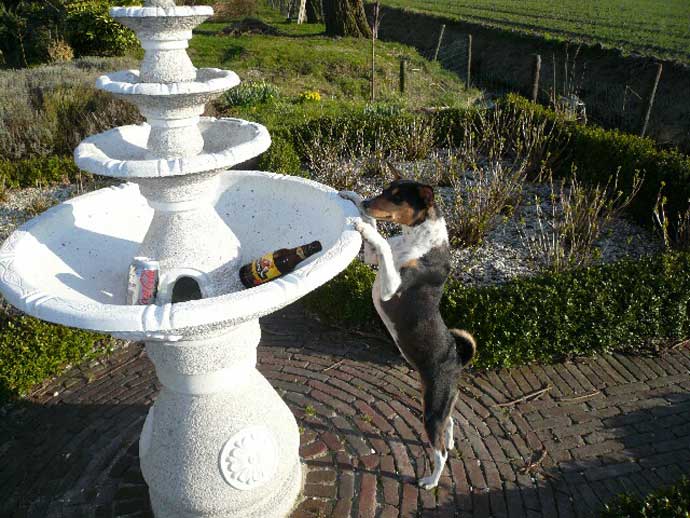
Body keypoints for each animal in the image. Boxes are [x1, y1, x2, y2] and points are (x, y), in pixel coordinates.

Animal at [340, 176, 476, 490]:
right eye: (384, 191)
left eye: (398, 198)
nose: (368, 202)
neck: (417, 242)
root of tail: (456, 360)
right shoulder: (371, 261)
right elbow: (378, 237)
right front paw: (353, 197)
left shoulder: (391, 288)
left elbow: (380, 241)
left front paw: (363, 224)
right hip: (441, 404)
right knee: (451, 424)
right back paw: (451, 442)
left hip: (432, 409)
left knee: (439, 452)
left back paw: (430, 481)